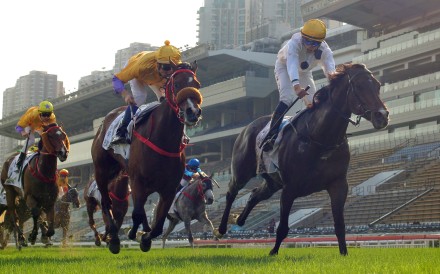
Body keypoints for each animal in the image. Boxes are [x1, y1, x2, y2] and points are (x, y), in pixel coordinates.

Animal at [93, 61, 205, 253]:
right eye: (176, 84)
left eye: (197, 85)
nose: (192, 112)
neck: (163, 139)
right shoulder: (137, 181)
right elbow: (137, 213)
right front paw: (131, 235)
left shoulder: (168, 189)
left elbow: (158, 225)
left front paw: (144, 238)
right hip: (101, 170)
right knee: (106, 203)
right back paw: (113, 238)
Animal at [215, 63, 390, 255]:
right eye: (359, 86)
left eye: (377, 86)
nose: (382, 115)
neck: (321, 138)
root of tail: (247, 127)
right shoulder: (290, 188)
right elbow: (282, 228)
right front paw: (273, 252)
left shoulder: (338, 184)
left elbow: (340, 226)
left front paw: (344, 253)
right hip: (242, 171)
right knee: (231, 192)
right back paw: (221, 229)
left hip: (273, 182)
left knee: (254, 194)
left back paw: (238, 220)